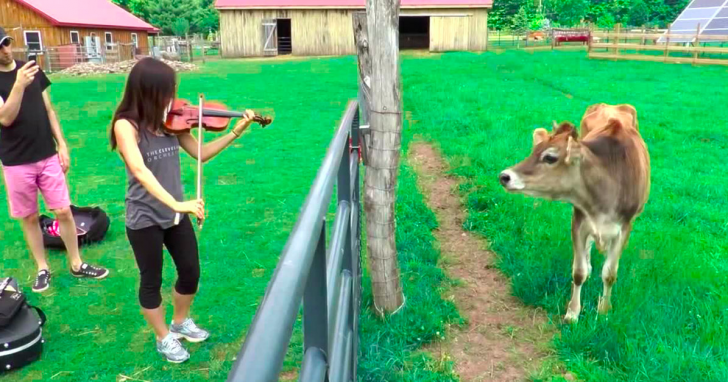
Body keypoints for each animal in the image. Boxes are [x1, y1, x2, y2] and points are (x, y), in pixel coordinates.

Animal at [498, 103, 652, 322]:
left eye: (550, 157)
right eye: (534, 149)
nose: (504, 176)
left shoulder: (625, 227)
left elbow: (610, 273)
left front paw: (604, 310)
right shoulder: (579, 219)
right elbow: (578, 272)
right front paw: (572, 313)